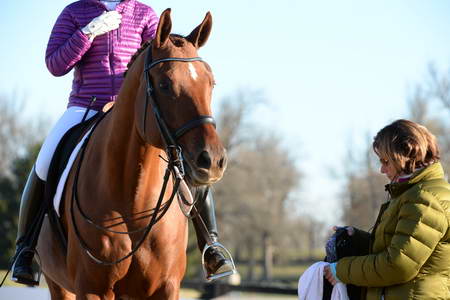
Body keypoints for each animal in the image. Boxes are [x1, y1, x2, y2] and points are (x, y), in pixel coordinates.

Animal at [35, 8, 227, 298]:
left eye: (211, 83)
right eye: (164, 84)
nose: (212, 160)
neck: (135, 200)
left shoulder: (167, 287)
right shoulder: (91, 289)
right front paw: (99, 25)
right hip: (58, 284)